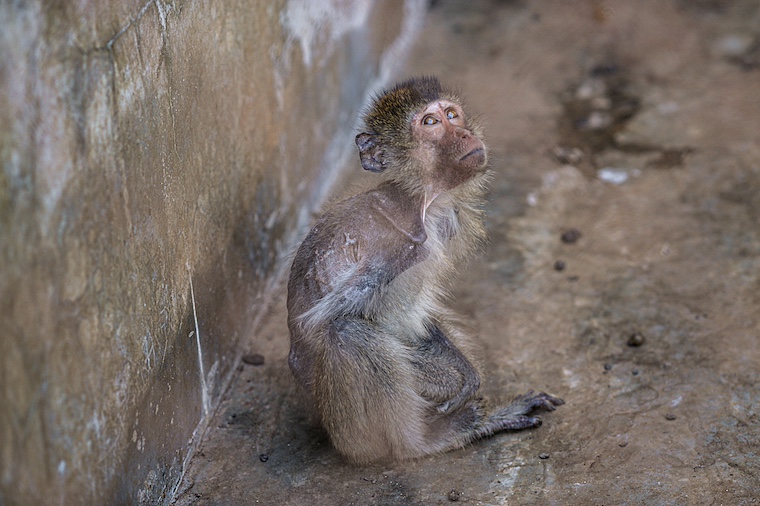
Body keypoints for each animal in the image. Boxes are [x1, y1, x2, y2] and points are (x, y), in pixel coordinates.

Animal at [286, 76, 563, 464]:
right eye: (431, 123)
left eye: (452, 115)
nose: (463, 133)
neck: (422, 203)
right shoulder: (394, 248)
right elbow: (323, 323)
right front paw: (449, 386)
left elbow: (420, 314)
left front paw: (467, 374)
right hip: (347, 431)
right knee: (348, 332)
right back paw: (424, 442)